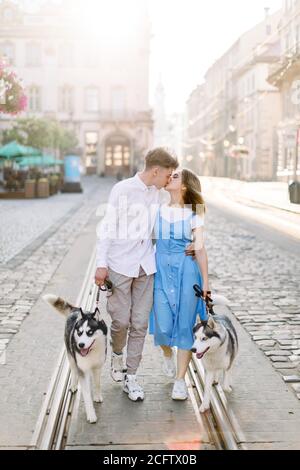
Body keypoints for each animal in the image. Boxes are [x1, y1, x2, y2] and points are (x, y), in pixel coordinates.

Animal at [42, 294, 107, 422]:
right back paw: (73, 385)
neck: (92, 351)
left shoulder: (97, 367)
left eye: (90, 332)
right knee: (73, 370)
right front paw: (91, 415)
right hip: (71, 356)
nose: (80, 345)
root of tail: (76, 310)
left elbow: (97, 384)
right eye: (80, 332)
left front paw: (97, 396)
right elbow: (86, 394)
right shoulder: (83, 370)